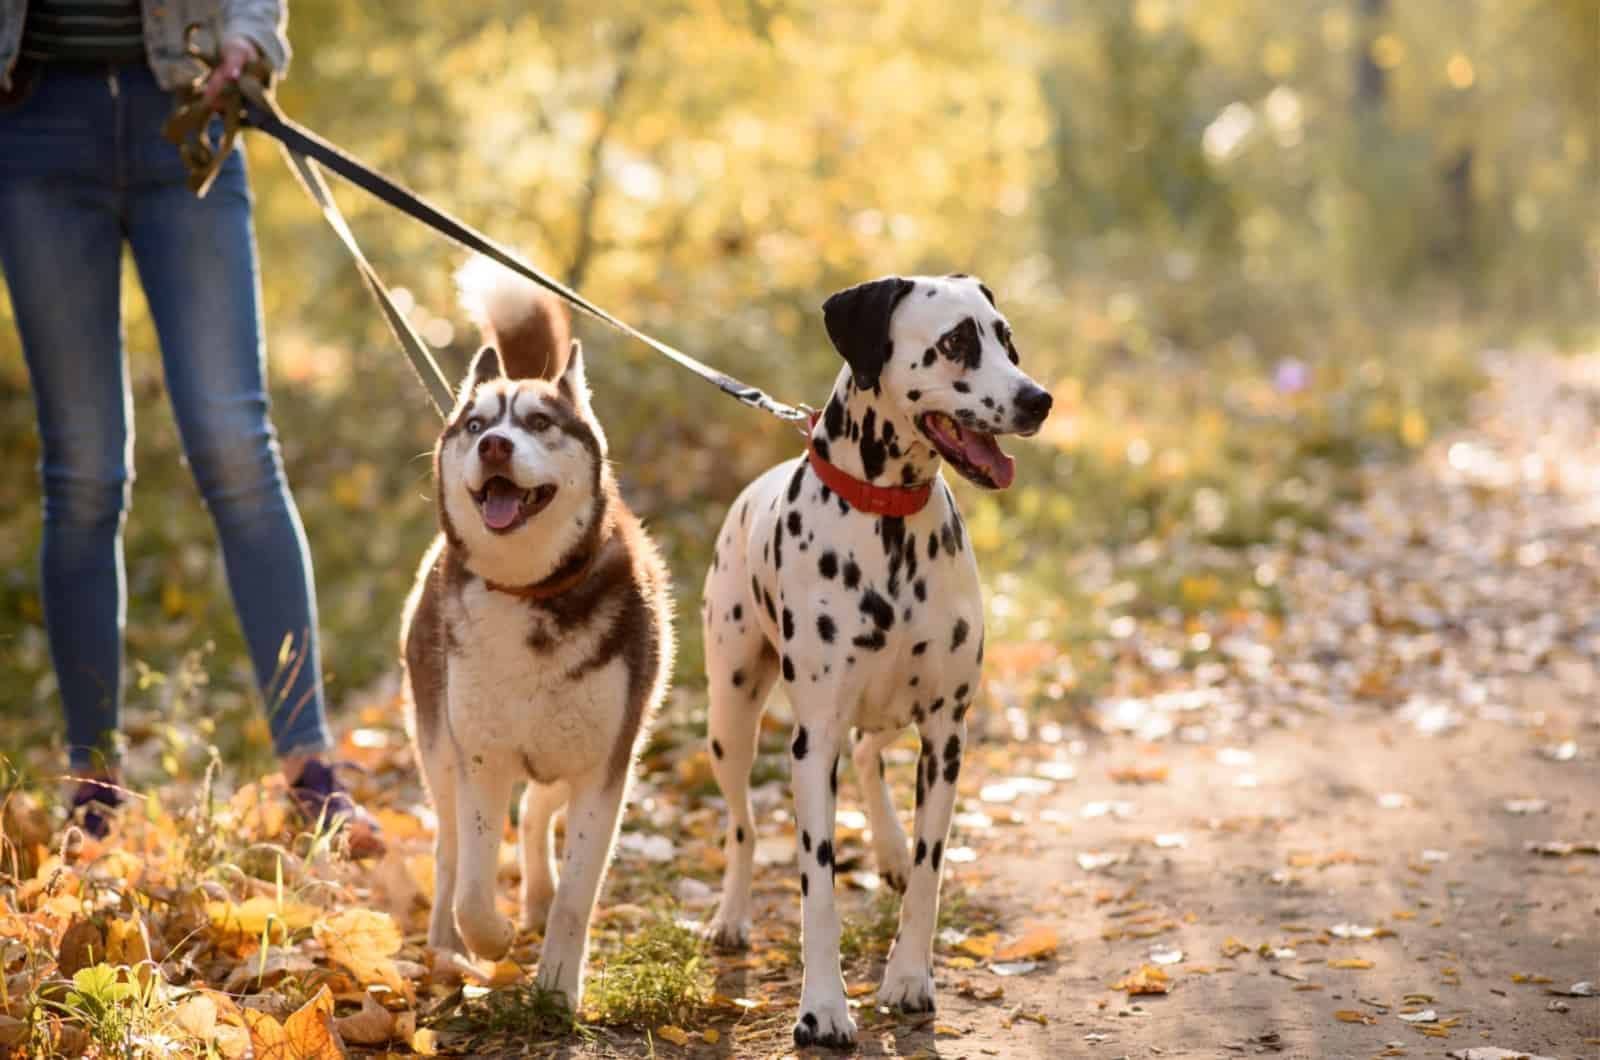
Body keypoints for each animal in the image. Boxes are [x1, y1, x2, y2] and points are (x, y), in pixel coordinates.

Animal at [697, 275, 1049, 1056]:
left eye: (1006, 338)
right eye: (956, 342)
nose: (1038, 399)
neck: (888, 520)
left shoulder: (946, 732)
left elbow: (928, 872)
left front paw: (909, 978)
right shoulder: (812, 742)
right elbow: (817, 889)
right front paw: (822, 1010)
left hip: (894, 708)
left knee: (868, 753)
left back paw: (886, 849)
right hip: (730, 716)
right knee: (742, 827)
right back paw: (731, 917)